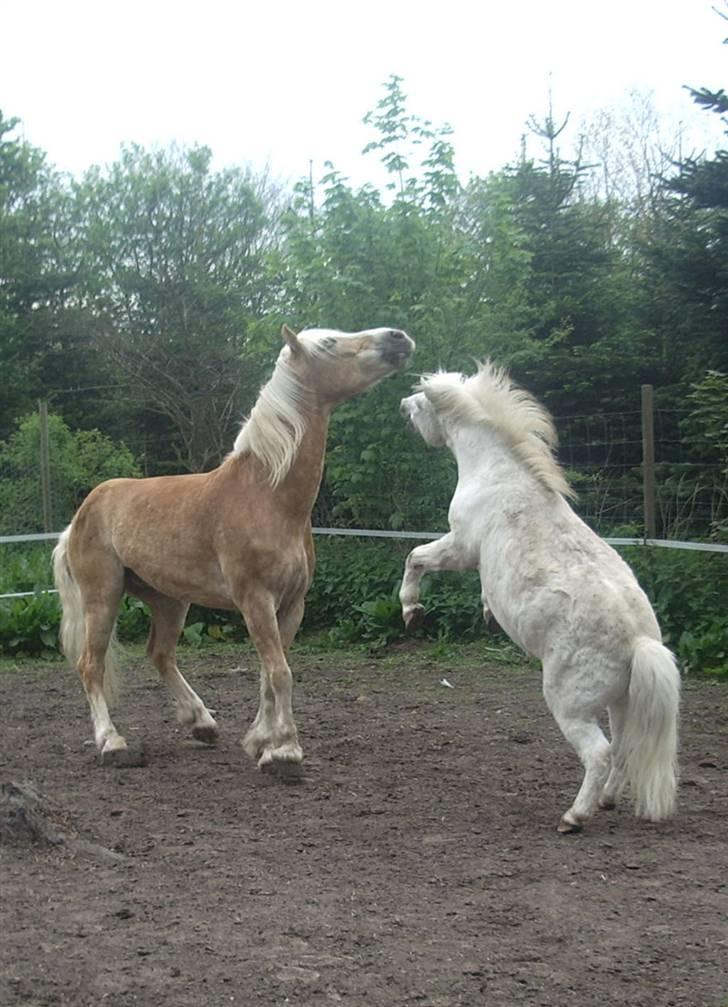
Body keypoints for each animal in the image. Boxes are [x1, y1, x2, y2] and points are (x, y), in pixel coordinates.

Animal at [53, 322, 412, 769]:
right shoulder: (255, 600)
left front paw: (261, 741)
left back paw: (201, 723)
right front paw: (285, 750)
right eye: (330, 342)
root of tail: (81, 514)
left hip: (170, 600)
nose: (398, 337)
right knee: (91, 665)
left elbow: (268, 673)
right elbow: (279, 672)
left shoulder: (291, 606)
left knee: (160, 653)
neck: (267, 497)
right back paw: (112, 742)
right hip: (102, 595)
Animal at [396, 362, 680, 833]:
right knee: (623, 748)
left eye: (422, 401)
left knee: (599, 754)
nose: (403, 404)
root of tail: (640, 641)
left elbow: (415, 557)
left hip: (569, 704)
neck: (498, 472)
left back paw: (574, 816)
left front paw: (411, 610)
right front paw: (487, 612)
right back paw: (606, 801)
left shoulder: (461, 546)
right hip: (621, 704)